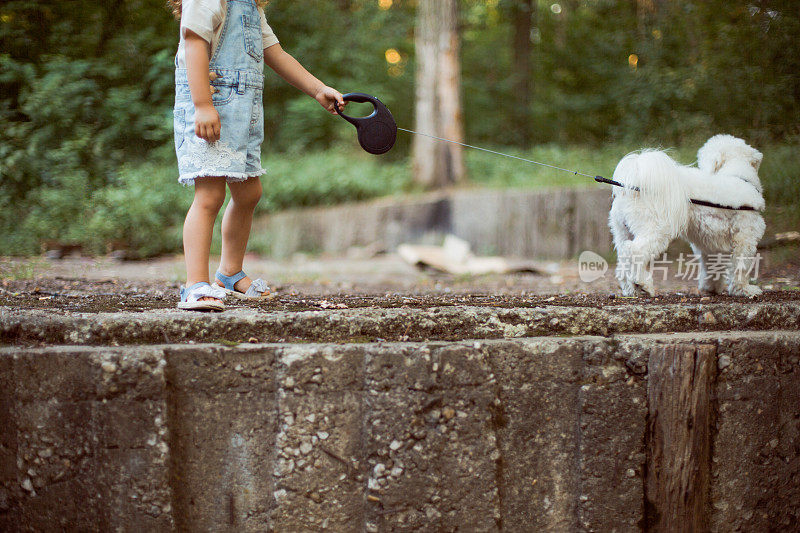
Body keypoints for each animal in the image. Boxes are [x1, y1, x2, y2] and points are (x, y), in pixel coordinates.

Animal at [608, 135, 764, 298]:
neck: (737, 176)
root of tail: (632, 186)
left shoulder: (709, 244)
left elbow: (712, 266)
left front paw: (711, 288)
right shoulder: (745, 238)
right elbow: (741, 267)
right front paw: (745, 290)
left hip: (622, 231)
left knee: (623, 256)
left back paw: (630, 288)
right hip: (656, 229)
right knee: (635, 251)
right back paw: (643, 283)